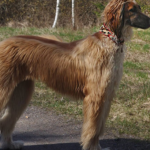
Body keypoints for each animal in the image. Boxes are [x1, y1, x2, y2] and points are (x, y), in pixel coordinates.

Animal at [0, 0, 149, 150]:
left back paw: (10, 144)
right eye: (132, 10)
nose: (149, 21)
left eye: (139, 8)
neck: (109, 40)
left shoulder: (107, 93)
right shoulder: (96, 95)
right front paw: (92, 147)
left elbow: (99, 128)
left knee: (7, 121)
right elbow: (93, 128)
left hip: (22, 90)